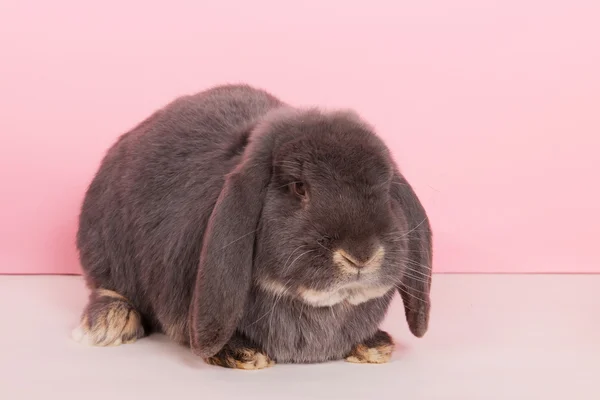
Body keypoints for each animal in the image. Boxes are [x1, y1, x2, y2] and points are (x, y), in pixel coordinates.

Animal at [72, 83, 434, 368]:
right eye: (299, 187)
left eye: (384, 188)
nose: (361, 255)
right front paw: (242, 352)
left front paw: (374, 345)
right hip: (106, 246)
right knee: (107, 285)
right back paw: (110, 323)